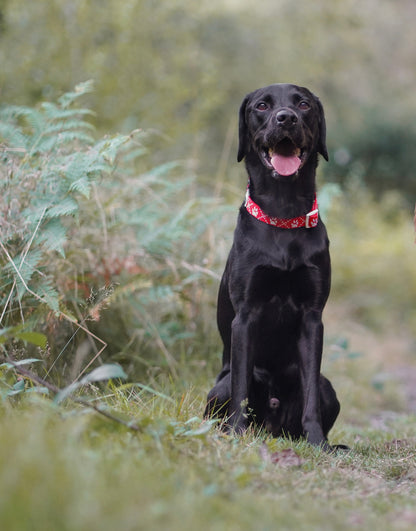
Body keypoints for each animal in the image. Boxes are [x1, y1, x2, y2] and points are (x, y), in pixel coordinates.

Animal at [204, 83, 342, 448]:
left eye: (304, 105)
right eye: (262, 106)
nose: (286, 118)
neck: (283, 212)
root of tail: (270, 428)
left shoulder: (312, 318)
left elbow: (310, 394)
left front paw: (317, 442)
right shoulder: (245, 316)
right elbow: (241, 391)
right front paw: (236, 433)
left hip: (329, 389)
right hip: (218, 388)